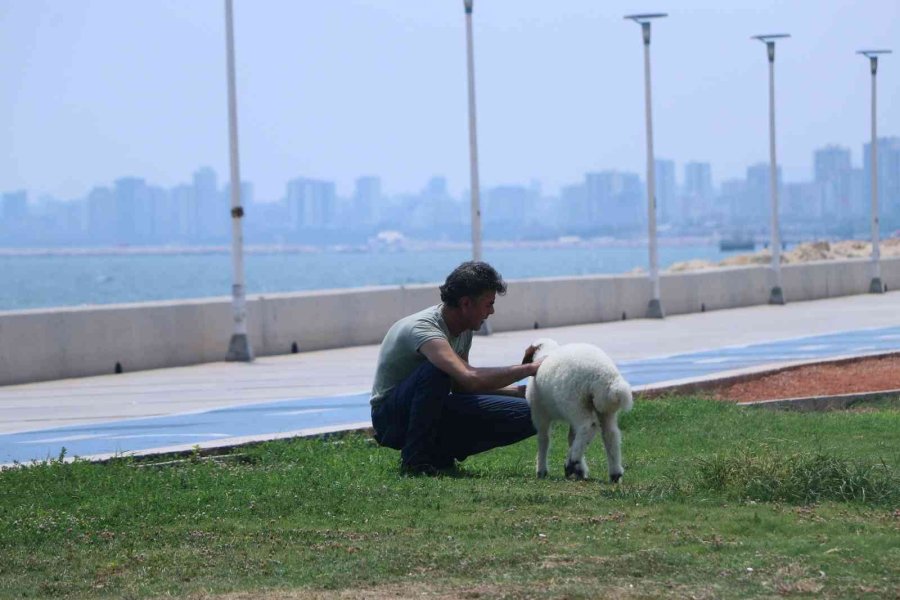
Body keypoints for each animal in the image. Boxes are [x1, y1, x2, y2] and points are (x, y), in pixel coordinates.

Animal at [520, 338, 632, 482]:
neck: (546, 352)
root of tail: (605, 376)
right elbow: (571, 438)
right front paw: (580, 470)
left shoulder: (540, 414)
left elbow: (544, 440)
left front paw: (541, 470)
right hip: (604, 409)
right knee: (610, 435)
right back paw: (615, 473)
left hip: (575, 403)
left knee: (588, 426)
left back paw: (571, 461)